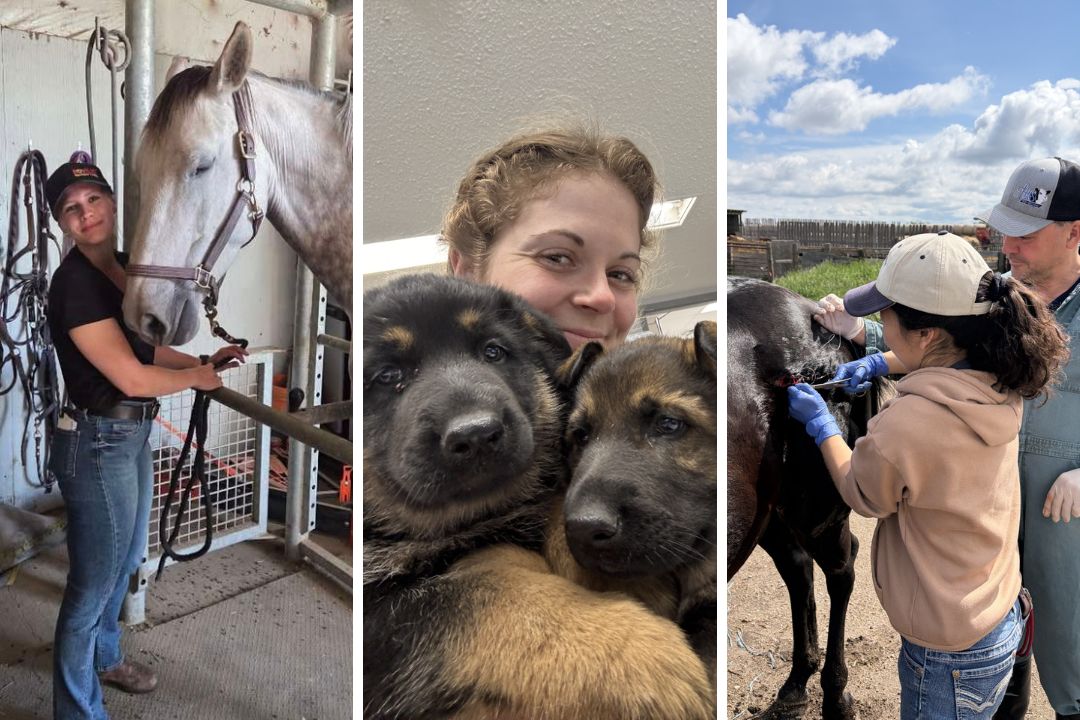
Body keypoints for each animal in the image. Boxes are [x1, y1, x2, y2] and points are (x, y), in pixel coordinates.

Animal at [727, 276, 880, 720]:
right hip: (766, 515)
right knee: (798, 567)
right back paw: (797, 681)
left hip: (813, 506)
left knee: (840, 570)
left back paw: (834, 693)